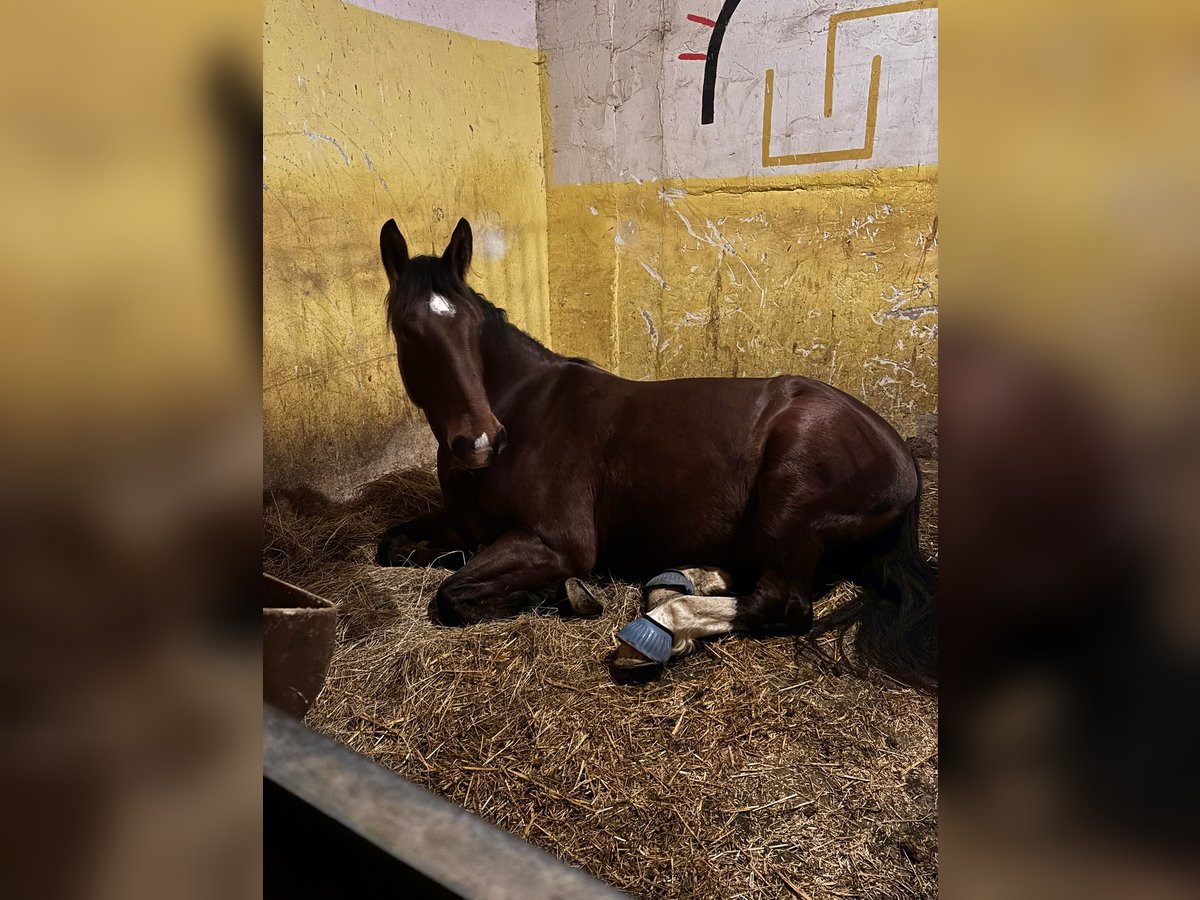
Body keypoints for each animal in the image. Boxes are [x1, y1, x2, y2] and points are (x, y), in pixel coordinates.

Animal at [374, 218, 936, 691]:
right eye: (407, 330)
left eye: (472, 327)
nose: (481, 441)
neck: (523, 409)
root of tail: (899, 454)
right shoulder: (464, 526)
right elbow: (396, 547)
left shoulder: (557, 543)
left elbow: (452, 594)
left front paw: (557, 594)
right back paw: (679, 581)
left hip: (791, 501)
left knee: (780, 602)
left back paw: (660, 629)